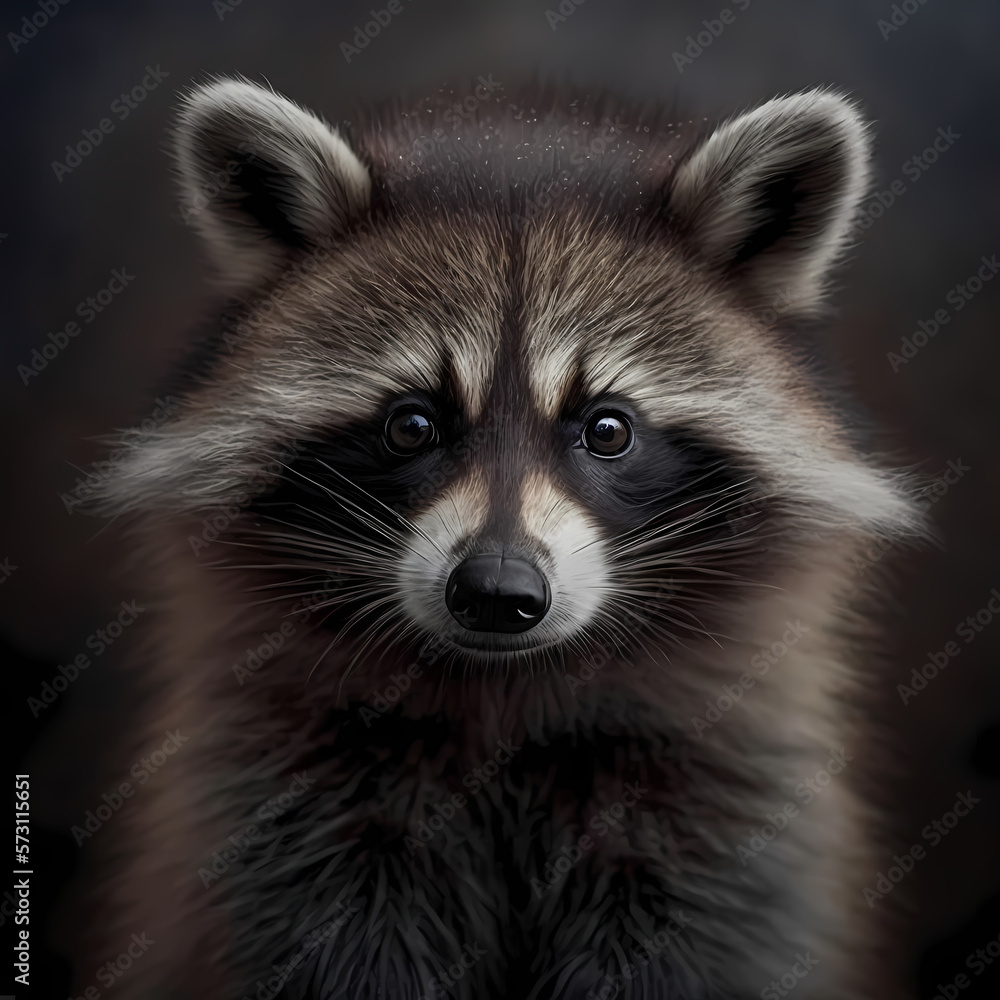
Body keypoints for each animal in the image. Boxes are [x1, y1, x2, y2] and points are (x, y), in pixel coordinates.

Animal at [76, 79, 924, 1000]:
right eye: (411, 423)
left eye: (607, 429)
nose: (496, 592)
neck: (505, 696)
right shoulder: (293, 804)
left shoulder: (715, 806)